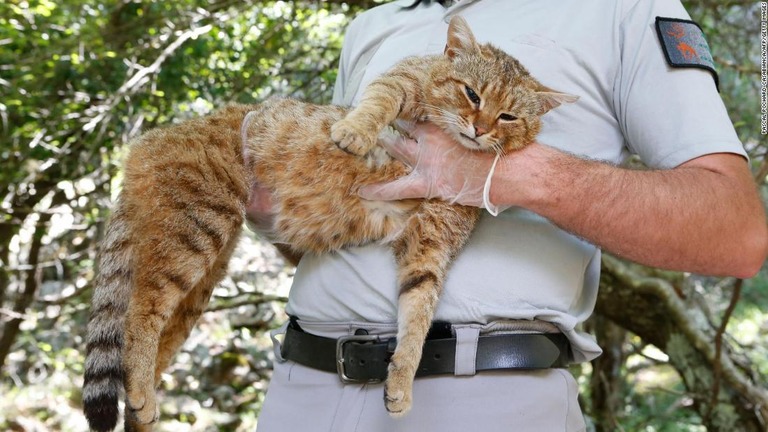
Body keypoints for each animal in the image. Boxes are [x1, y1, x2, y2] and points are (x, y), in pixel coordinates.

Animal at [84, 16, 576, 432]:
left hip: (201, 274)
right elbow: (379, 100)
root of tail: (147, 142)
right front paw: (353, 132)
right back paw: (142, 392)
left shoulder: (429, 242)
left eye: (508, 116)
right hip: (196, 228)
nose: (479, 129)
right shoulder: (404, 79)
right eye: (472, 94)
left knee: (150, 334)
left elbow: (418, 313)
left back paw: (143, 406)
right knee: (139, 314)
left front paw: (401, 380)